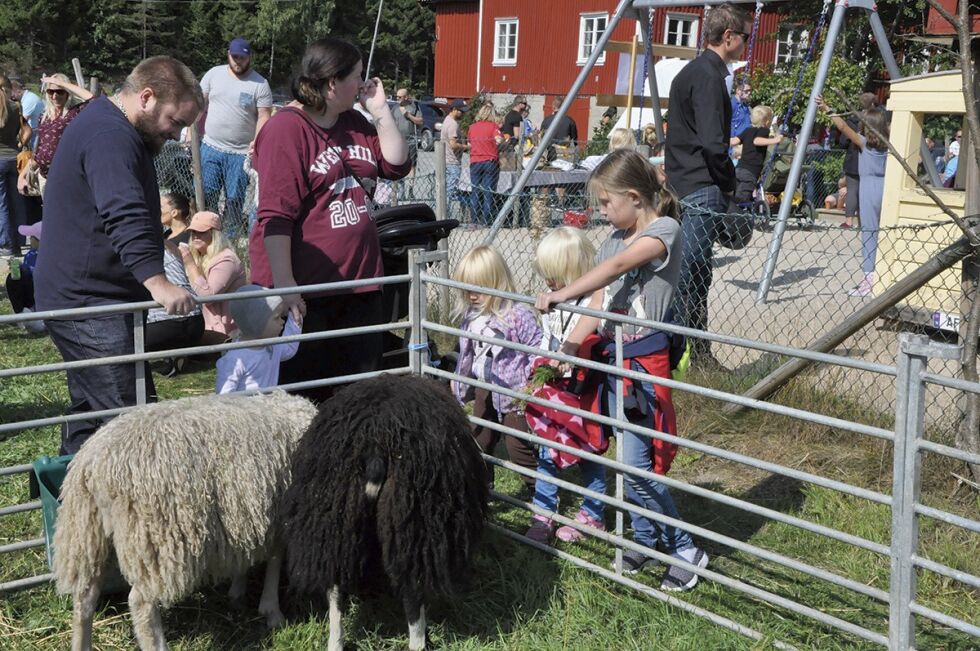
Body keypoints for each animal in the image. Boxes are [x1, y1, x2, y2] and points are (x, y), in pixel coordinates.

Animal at [52, 390, 318, 648]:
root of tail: (95, 464)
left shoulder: (247, 512)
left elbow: (249, 553)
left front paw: (238, 591)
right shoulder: (281, 515)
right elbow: (276, 559)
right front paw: (272, 610)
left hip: (85, 531)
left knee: (84, 596)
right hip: (155, 536)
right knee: (141, 603)